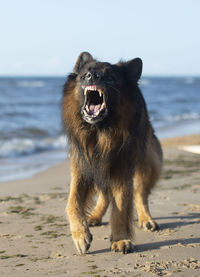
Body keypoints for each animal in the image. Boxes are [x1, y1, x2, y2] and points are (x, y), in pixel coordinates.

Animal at [62, 51, 162, 252]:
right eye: (84, 75)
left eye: (110, 77)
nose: (92, 76)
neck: (100, 132)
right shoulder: (82, 165)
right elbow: (73, 201)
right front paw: (80, 234)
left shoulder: (122, 168)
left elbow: (121, 206)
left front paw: (120, 239)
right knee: (105, 194)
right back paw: (94, 216)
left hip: (148, 163)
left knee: (140, 194)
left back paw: (146, 219)